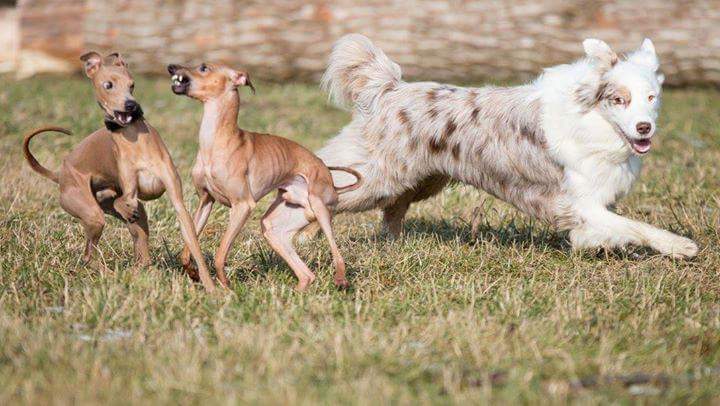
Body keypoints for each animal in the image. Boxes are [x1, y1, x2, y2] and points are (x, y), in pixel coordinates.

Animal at [23, 52, 218, 292]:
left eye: (132, 85)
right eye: (108, 85)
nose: (130, 105)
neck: (135, 139)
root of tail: (61, 175)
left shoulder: (177, 202)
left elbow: (193, 245)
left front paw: (210, 286)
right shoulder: (129, 191)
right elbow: (123, 200)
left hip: (123, 215)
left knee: (139, 251)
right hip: (92, 215)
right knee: (88, 255)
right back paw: (111, 274)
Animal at [167, 61, 360, 290]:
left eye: (204, 67)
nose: (171, 67)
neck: (216, 140)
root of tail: (332, 182)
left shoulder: (242, 206)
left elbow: (220, 254)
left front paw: (226, 285)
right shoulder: (205, 202)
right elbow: (188, 247)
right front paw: (194, 273)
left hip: (320, 208)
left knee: (337, 254)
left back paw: (340, 278)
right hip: (274, 227)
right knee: (307, 275)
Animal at [314, 34, 696, 256]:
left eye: (652, 97)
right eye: (619, 99)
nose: (645, 128)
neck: (593, 123)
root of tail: (390, 89)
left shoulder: (595, 207)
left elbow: (614, 229)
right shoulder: (580, 203)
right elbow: (638, 226)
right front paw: (680, 245)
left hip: (419, 181)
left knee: (392, 211)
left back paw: (393, 246)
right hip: (376, 177)